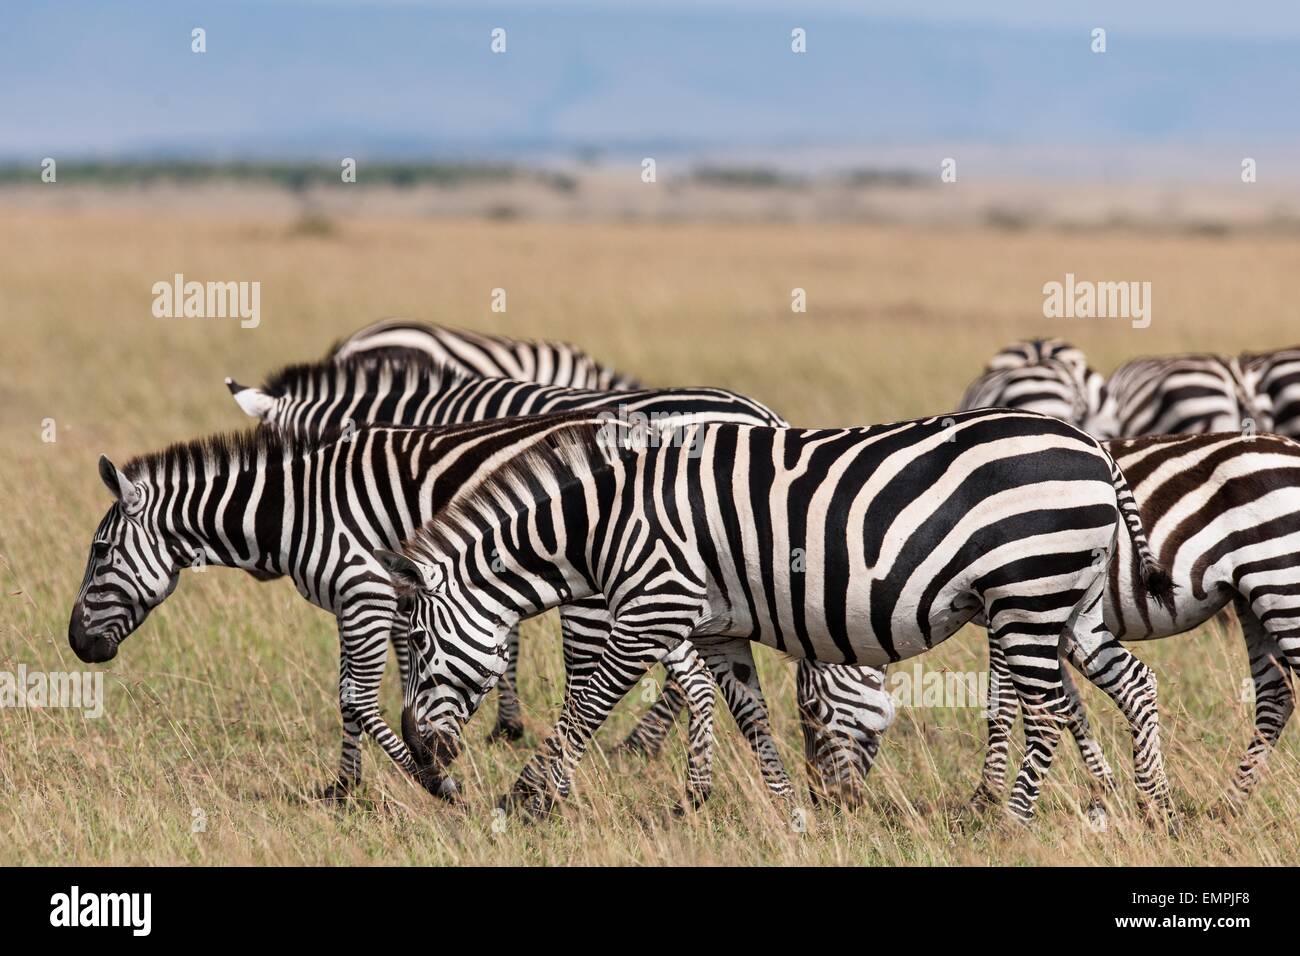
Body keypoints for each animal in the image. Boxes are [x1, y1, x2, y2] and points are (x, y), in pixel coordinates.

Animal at [377, 408, 1175, 822]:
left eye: (415, 638)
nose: (420, 749)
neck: (602, 525)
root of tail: (1093, 446)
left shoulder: (649, 608)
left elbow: (584, 707)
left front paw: (526, 800)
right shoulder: (719, 627)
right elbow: (751, 717)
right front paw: (791, 811)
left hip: (1029, 593)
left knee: (1044, 712)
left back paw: (1011, 821)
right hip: (1069, 602)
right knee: (1134, 685)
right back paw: (1155, 808)